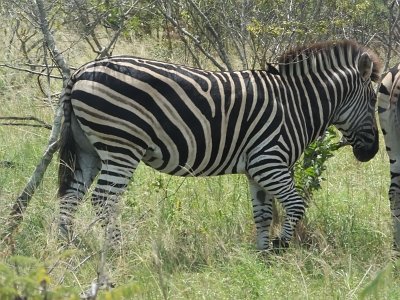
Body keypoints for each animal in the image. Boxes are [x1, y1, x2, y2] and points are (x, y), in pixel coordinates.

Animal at [58, 39, 382, 251]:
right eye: (373, 101)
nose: (372, 153)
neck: (296, 105)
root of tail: (81, 71)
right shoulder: (269, 162)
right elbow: (295, 204)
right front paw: (280, 245)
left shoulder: (257, 169)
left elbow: (263, 213)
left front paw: (263, 256)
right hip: (121, 146)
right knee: (103, 200)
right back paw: (116, 250)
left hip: (89, 149)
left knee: (70, 197)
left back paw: (67, 247)